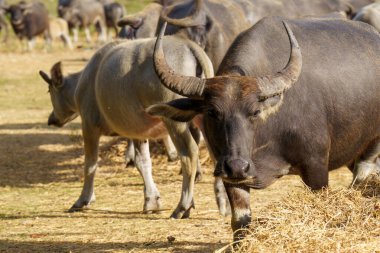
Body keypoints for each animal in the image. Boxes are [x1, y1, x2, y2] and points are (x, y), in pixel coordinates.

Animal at [40, 36, 215, 219]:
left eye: (49, 91)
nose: (51, 119)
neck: (87, 80)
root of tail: (188, 45)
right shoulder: (138, 133)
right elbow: (143, 162)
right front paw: (151, 200)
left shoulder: (89, 126)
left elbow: (90, 164)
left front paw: (83, 199)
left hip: (174, 121)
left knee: (189, 153)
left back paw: (183, 206)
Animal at [148, 19, 380, 241]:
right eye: (212, 112)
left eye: (255, 112)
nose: (237, 166)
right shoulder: (231, 177)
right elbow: (240, 221)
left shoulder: (316, 166)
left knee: (363, 171)